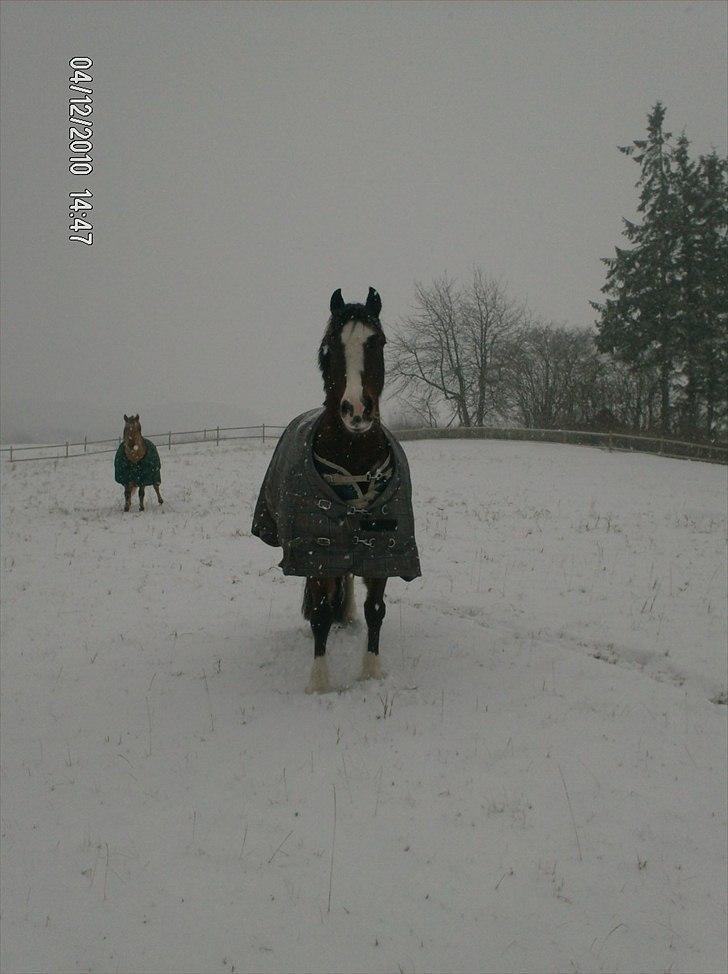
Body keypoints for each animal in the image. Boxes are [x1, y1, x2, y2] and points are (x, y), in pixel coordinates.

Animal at [252, 290, 418, 692]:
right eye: (329, 346)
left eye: (378, 342)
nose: (356, 410)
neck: (354, 457)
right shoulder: (316, 552)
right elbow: (320, 612)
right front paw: (320, 682)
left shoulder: (382, 550)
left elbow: (376, 610)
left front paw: (371, 673)